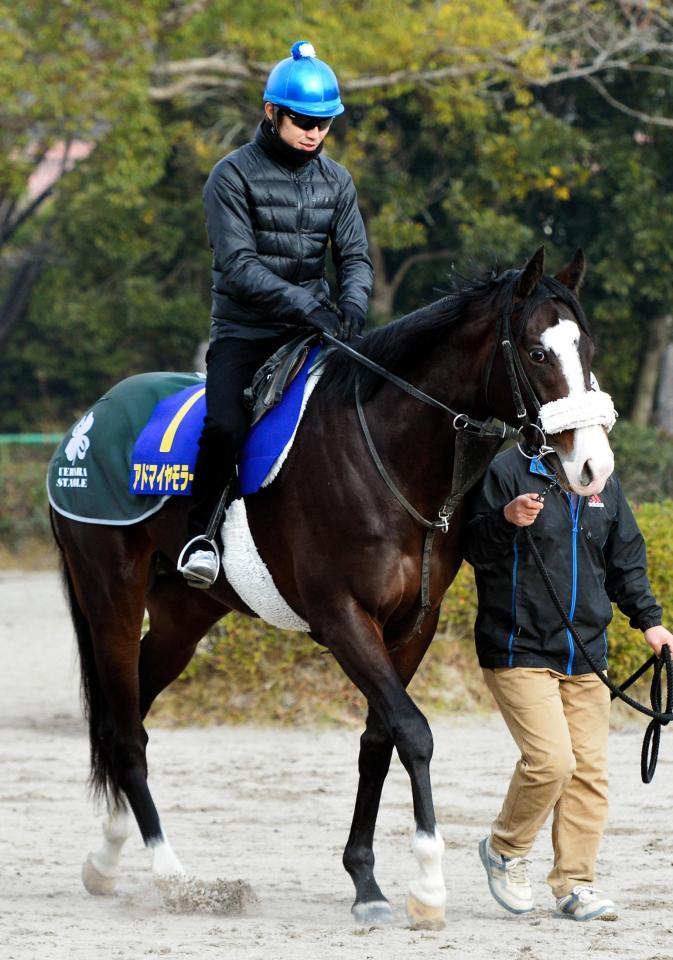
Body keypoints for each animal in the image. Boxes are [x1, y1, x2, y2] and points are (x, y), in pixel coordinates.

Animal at [48, 248, 616, 928]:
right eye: (535, 352)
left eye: (587, 347)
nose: (594, 467)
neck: (385, 456)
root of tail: (87, 421)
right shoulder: (343, 617)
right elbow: (413, 731)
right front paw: (428, 885)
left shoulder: (412, 626)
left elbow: (380, 738)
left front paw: (366, 880)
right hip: (111, 595)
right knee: (126, 732)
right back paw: (172, 875)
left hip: (183, 618)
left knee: (125, 714)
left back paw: (106, 858)